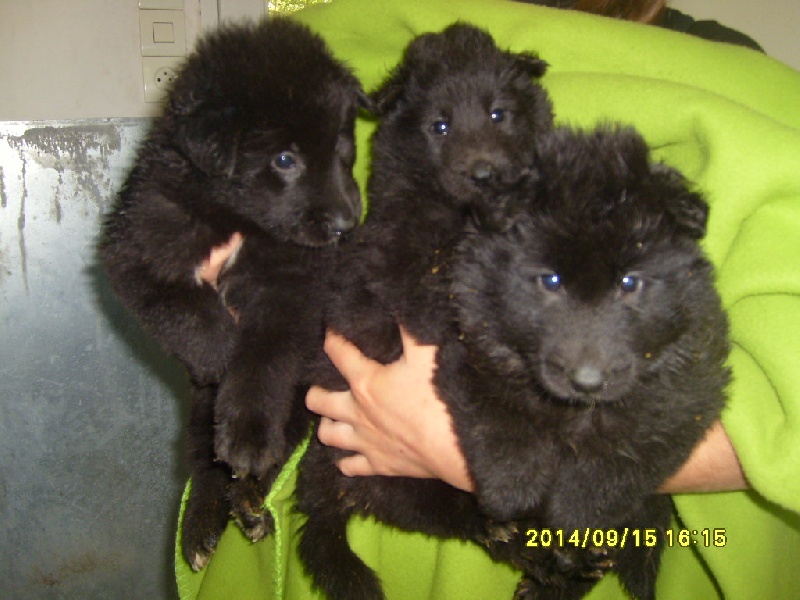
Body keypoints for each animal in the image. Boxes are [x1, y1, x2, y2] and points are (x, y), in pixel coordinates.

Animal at [98, 17, 368, 572]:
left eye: (343, 151)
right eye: (285, 159)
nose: (345, 224)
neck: (237, 218)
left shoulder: (294, 290)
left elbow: (261, 364)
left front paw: (246, 429)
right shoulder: (136, 250)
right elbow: (184, 311)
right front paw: (219, 353)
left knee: (265, 452)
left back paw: (247, 500)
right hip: (201, 417)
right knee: (204, 462)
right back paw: (201, 525)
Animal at [296, 23, 556, 600]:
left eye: (499, 114)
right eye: (439, 126)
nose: (484, 172)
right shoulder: (387, 266)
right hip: (397, 478)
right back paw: (510, 532)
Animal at [432, 124, 732, 596]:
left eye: (630, 282)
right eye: (550, 280)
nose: (587, 380)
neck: (574, 411)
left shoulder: (688, 392)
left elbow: (614, 464)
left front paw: (573, 521)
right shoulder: (469, 344)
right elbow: (497, 419)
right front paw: (511, 492)